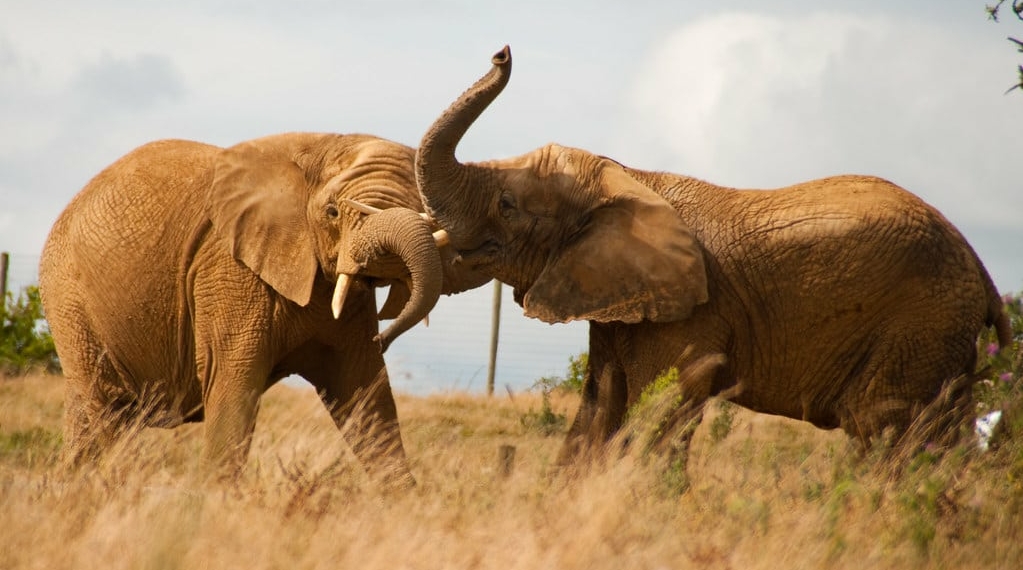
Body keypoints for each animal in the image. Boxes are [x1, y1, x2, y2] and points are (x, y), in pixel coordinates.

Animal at [39, 130, 486, 483]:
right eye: (333, 212)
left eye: (425, 214)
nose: (386, 335)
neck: (319, 146)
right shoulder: (229, 273)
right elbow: (234, 381)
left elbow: (365, 392)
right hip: (67, 296)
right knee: (101, 410)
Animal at [411, 46, 1010, 466]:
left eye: (508, 206)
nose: (502, 52)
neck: (624, 175)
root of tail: (979, 267)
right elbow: (597, 411)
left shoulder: (689, 315)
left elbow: (661, 410)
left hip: (920, 322)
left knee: (885, 430)